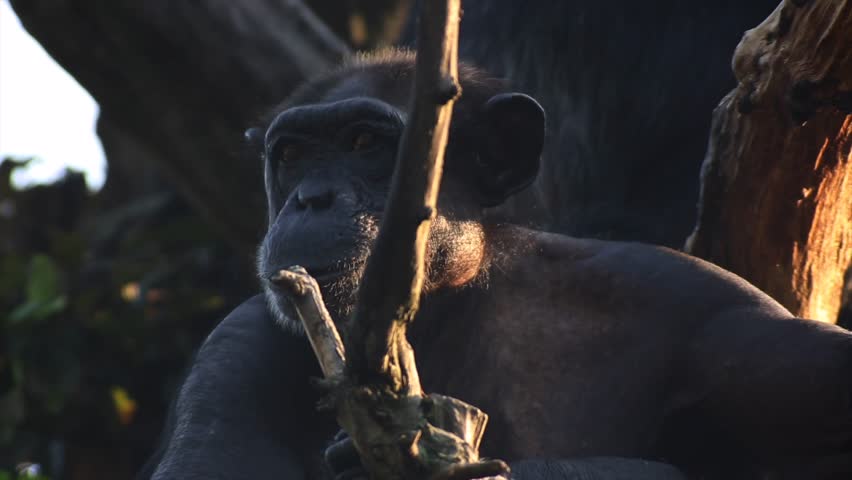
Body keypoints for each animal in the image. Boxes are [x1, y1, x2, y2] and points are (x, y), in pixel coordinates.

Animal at [140, 51, 852, 480]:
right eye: (291, 155)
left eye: (365, 142)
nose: (310, 198)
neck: (446, 307)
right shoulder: (235, 344)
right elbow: (212, 466)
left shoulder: (714, 307)